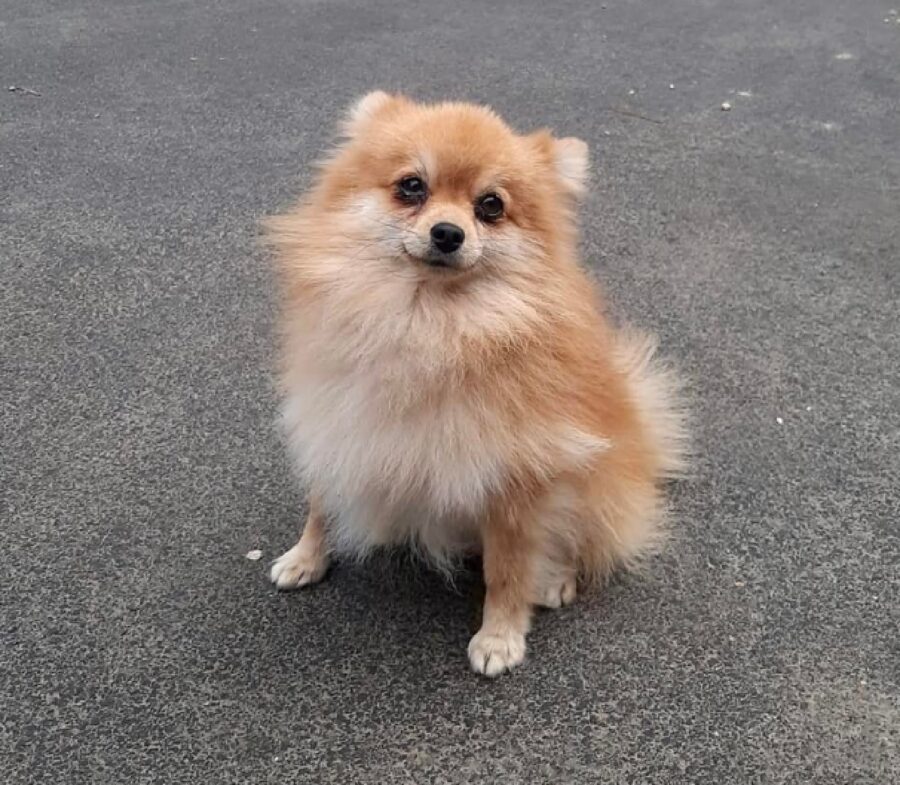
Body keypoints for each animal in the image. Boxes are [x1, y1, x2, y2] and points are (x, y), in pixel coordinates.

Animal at [264, 92, 684, 676]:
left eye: (490, 205)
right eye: (411, 186)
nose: (448, 232)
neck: (428, 323)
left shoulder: (515, 480)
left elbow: (507, 569)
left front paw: (500, 636)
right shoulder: (340, 421)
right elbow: (320, 505)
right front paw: (305, 558)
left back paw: (555, 580)